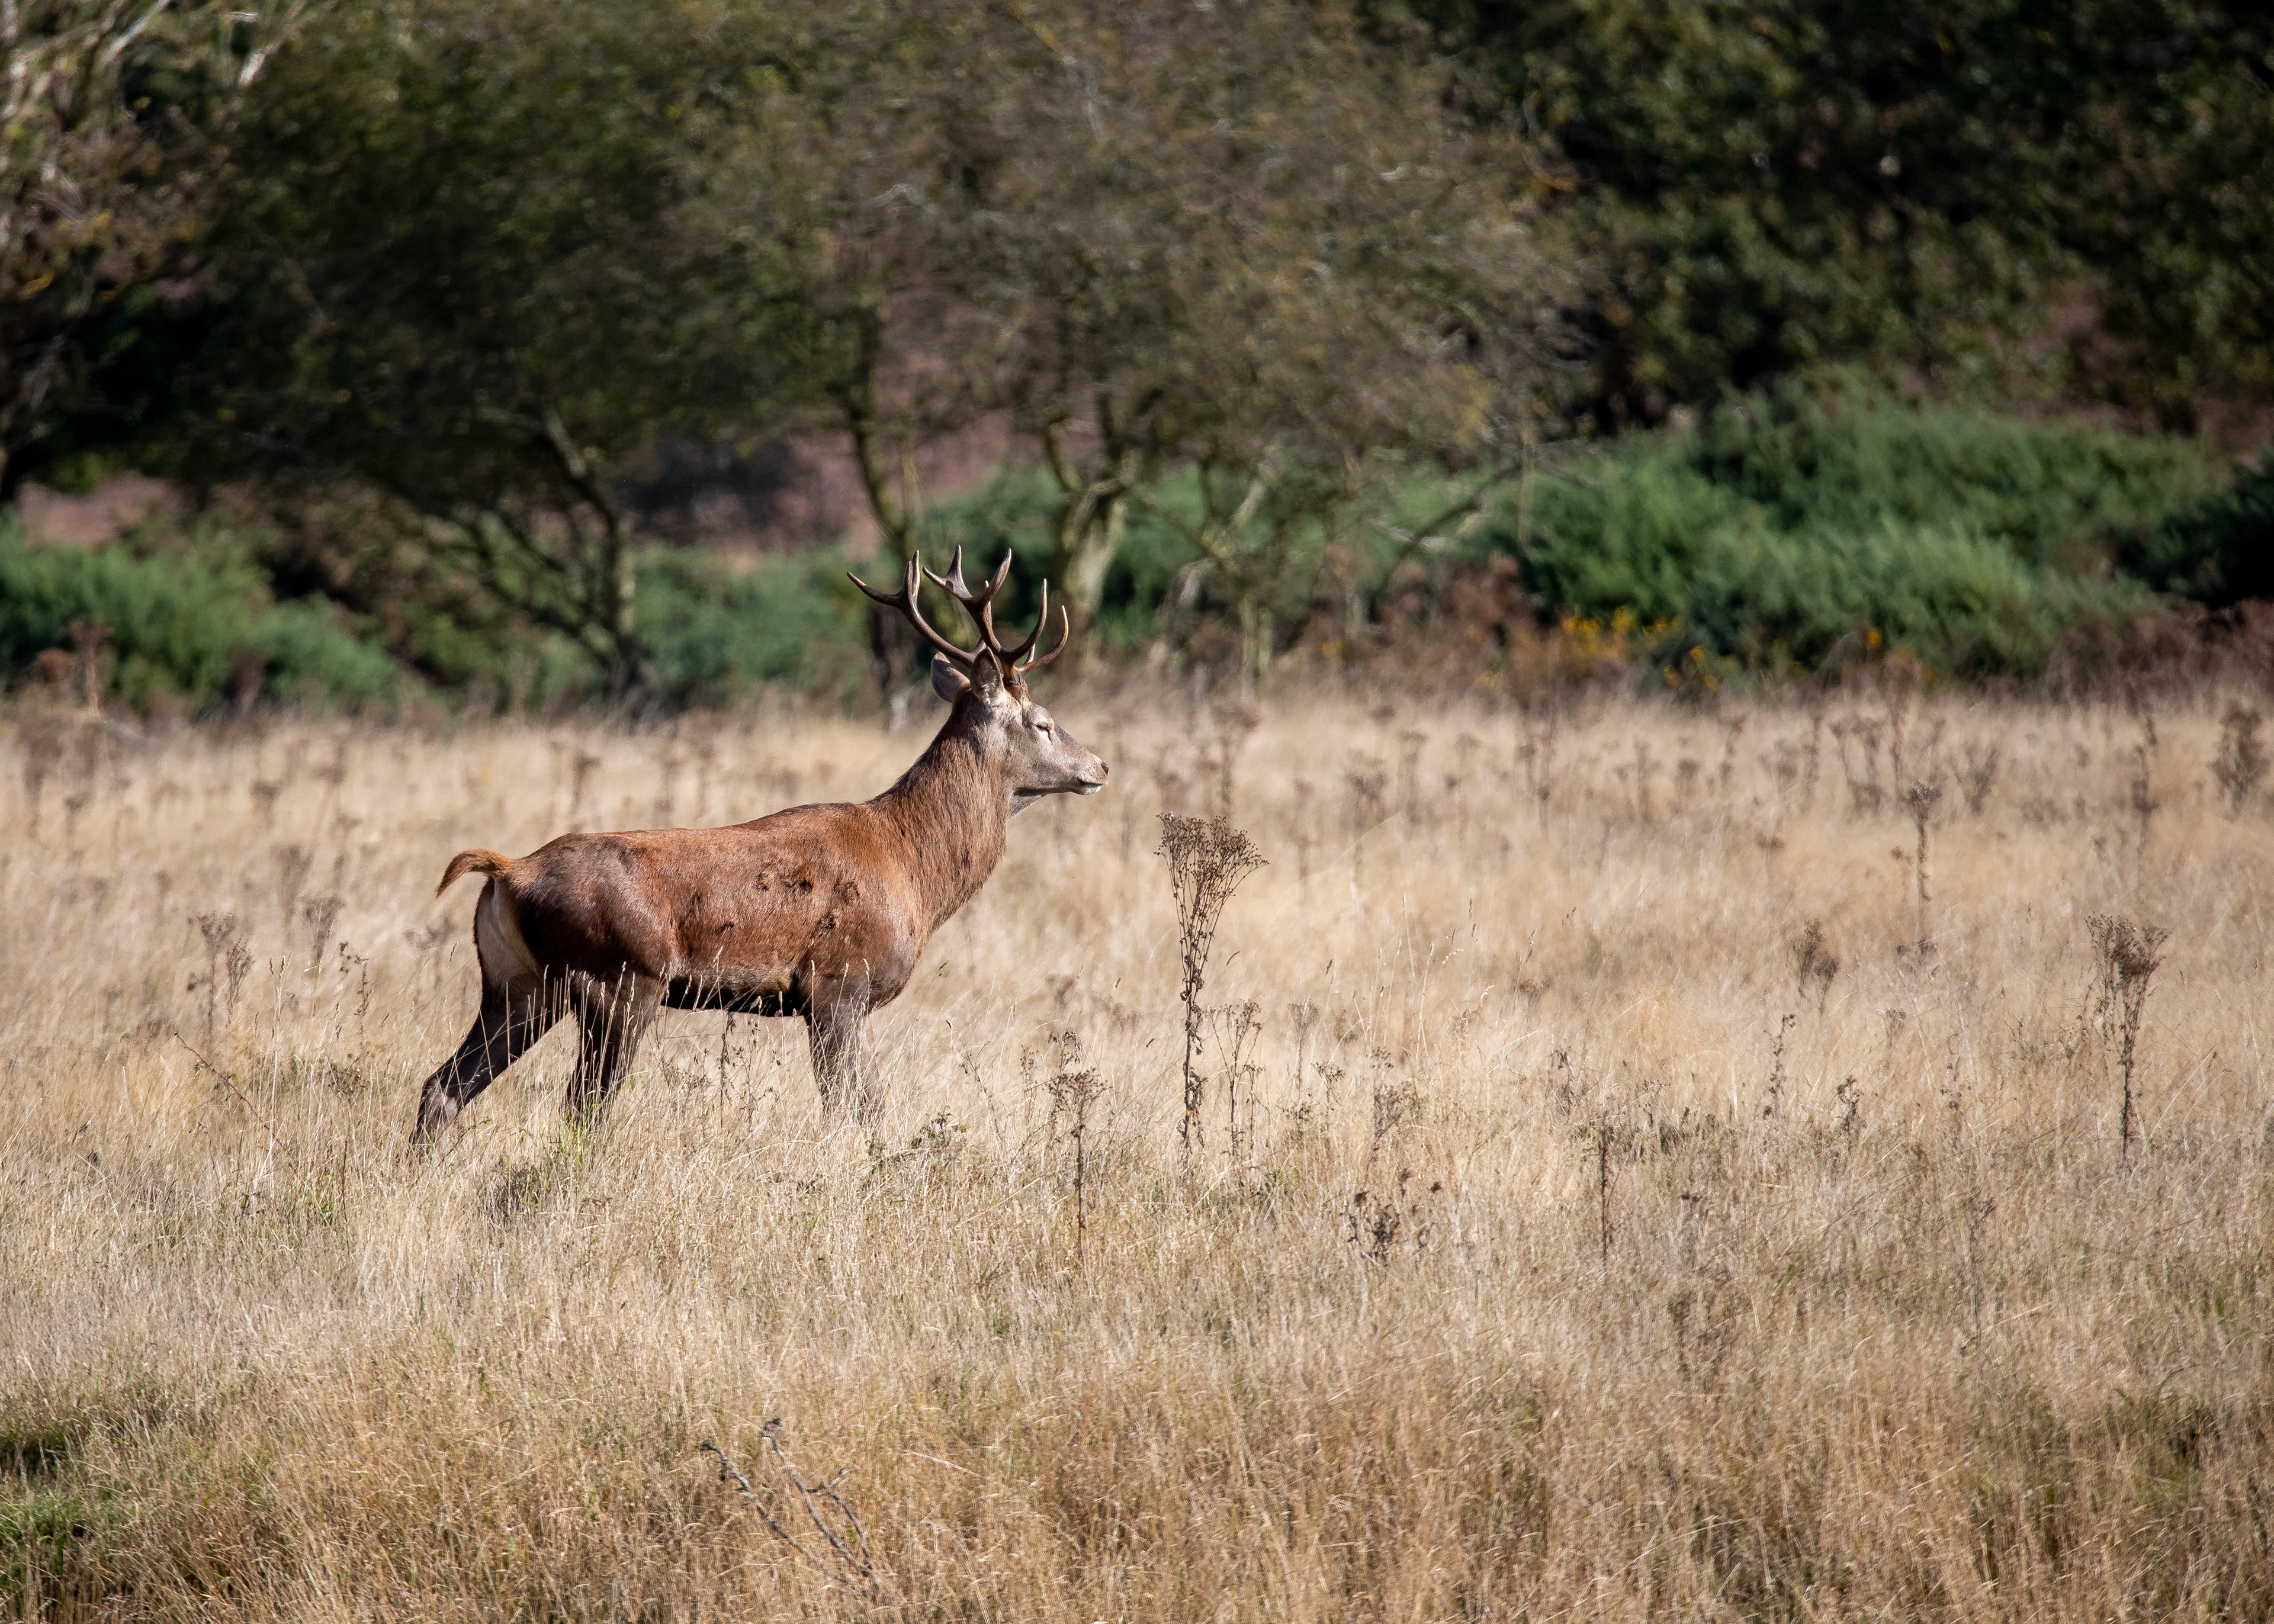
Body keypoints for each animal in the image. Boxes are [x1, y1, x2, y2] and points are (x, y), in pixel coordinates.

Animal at [410, 549, 1108, 1143]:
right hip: (619, 978)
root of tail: (507, 873)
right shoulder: (837, 982)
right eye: (1043, 723)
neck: (911, 869)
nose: (1099, 765)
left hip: (519, 984)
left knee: (442, 1086)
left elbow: (869, 1109)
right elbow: (854, 1112)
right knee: (582, 1106)